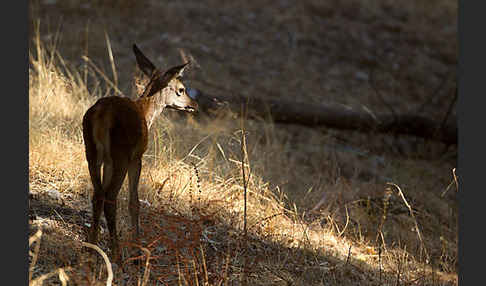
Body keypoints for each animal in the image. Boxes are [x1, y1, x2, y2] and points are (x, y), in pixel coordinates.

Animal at [81, 43, 197, 260]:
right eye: (181, 89)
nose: (194, 105)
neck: (146, 112)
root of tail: (102, 115)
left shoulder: (108, 161)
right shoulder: (137, 157)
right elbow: (134, 201)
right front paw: (137, 248)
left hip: (92, 151)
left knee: (98, 194)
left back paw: (91, 248)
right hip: (121, 154)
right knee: (110, 197)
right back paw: (117, 254)